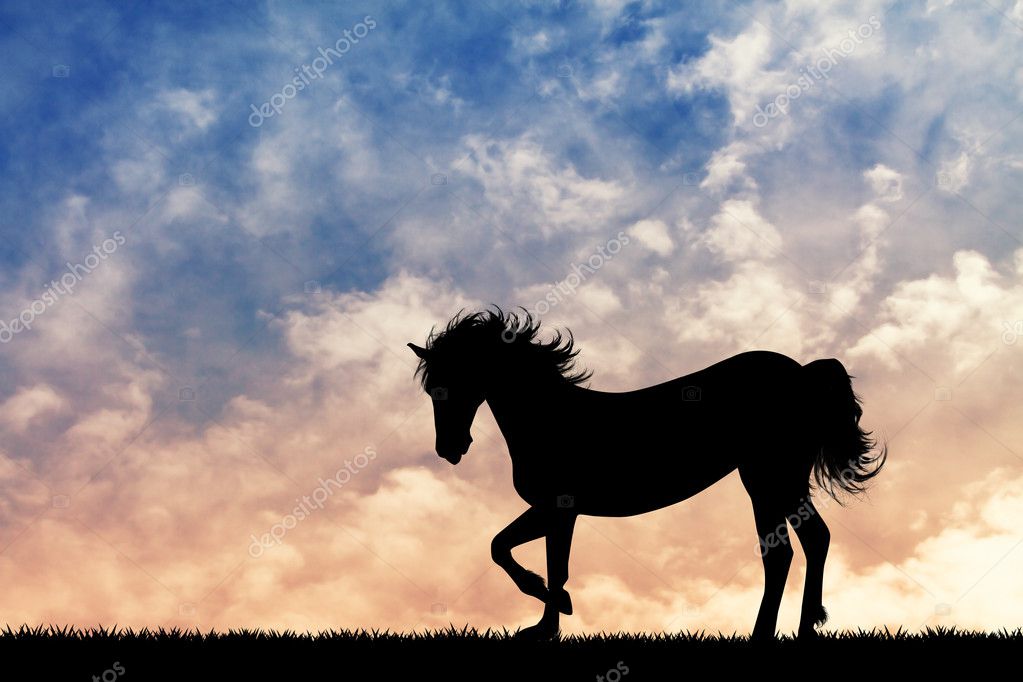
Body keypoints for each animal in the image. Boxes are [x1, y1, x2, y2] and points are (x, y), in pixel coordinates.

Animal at [408, 308, 886, 641]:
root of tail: (804, 375)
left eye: (454, 383)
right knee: (810, 542)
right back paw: (805, 628)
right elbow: (517, 551)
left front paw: (553, 614)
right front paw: (548, 620)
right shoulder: (555, 512)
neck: (551, 418)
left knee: (785, 551)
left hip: (768, 479)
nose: (449, 450)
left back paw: (763, 634)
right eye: (431, 390)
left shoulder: (559, 509)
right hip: (778, 481)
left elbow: (534, 560)